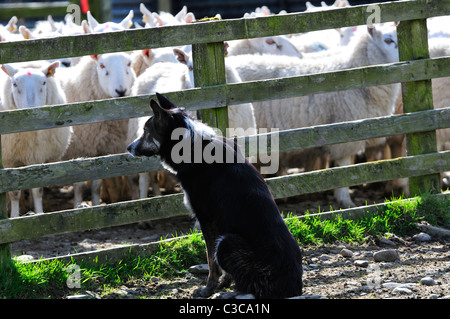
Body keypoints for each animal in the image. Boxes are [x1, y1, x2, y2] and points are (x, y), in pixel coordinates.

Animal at [0, 61, 72, 219]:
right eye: (14, 84)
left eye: (44, 82)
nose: (30, 112)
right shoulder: (9, 161)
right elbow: (14, 192)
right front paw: (15, 217)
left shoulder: (39, 158)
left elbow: (37, 189)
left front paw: (39, 214)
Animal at [58, 53, 136, 208]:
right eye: (102, 65)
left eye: (129, 63)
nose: (121, 91)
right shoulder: (78, 151)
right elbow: (79, 186)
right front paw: (78, 205)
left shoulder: (102, 150)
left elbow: (96, 185)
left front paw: (96, 205)